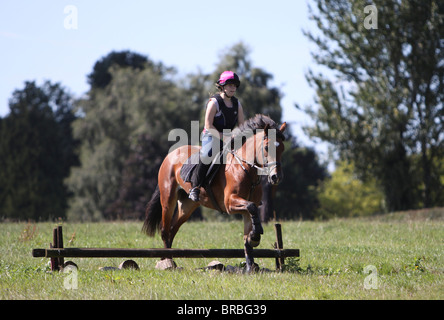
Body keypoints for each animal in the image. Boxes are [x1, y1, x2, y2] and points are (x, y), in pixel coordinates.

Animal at [143, 114, 288, 272]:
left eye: (282, 149)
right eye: (267, 147)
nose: (276, 177)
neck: (245, 169)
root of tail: (170, 155)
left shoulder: (246, 210)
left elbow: (247, 236)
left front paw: (250, 262)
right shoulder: (230, 203)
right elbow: (251, 207)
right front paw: (256, 236)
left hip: (187, 205)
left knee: (172, 229)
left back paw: (169, 258)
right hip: (168, 199)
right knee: (164, 230)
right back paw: (167, 261)